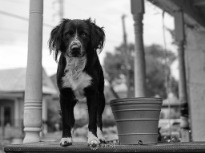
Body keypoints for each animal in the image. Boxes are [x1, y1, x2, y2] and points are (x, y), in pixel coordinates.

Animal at [48, 18, 105, 146]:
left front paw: (93, 139)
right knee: (71, 118)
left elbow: (93, 119)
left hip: (101, 96)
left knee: (99, 117)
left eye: (84, 34)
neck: (76, 64)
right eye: (67, 34)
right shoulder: (64, 94)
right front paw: (66, 138)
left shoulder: (93, 93)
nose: (75, 48)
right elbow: (66, 119)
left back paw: (101, 137)